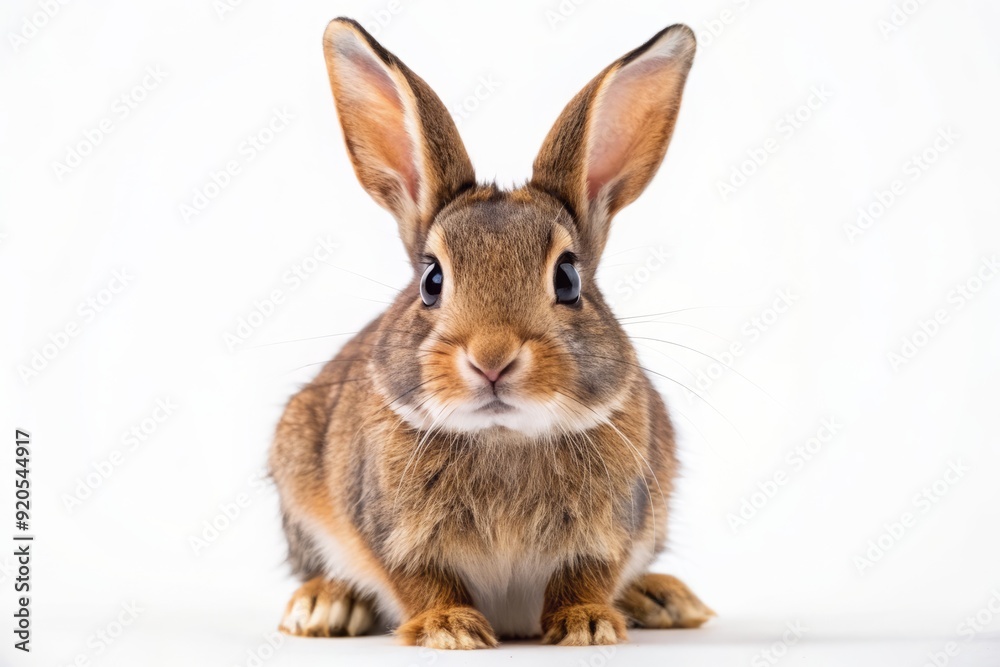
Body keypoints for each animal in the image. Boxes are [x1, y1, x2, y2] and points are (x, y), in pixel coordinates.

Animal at [269, 17, 714, 648]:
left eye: (568, 277)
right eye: (431, 280)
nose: (492, 358)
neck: (504, 436)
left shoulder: (613, 529)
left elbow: (585, 578)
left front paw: (588, 625)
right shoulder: (394, 534)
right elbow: (422, 582)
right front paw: (449, 630)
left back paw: (663, 598)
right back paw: (324, 605)